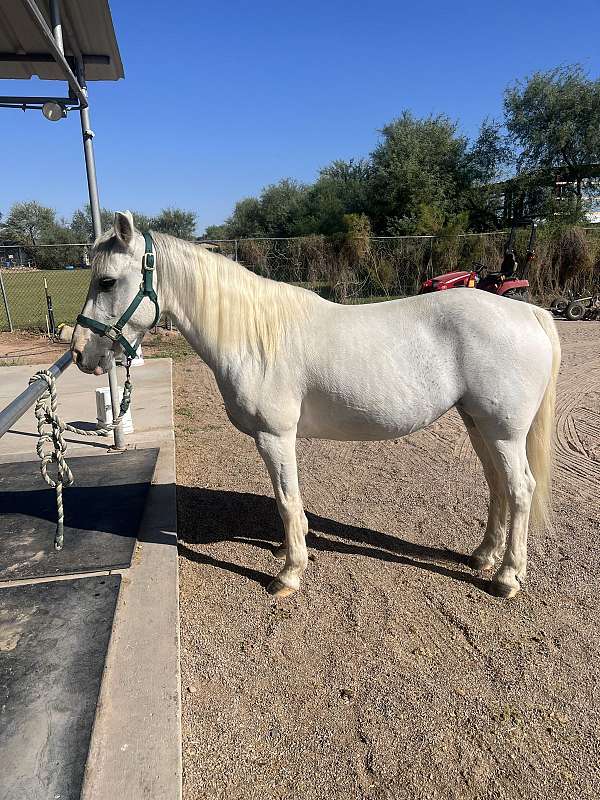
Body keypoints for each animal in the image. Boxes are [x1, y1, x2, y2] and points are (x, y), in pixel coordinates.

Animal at [71, 212, 564, 600]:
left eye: (108, 281)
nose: (80, 354)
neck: (253, 337)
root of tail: (529, 313)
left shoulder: (275, 436)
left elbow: (287, 501)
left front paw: (289, 573)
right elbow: (289, 502)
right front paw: (291, 549)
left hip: (503, 431)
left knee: (520, 489)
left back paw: (507, 577)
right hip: (478, 423)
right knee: (497, 486)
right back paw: (483, 556)